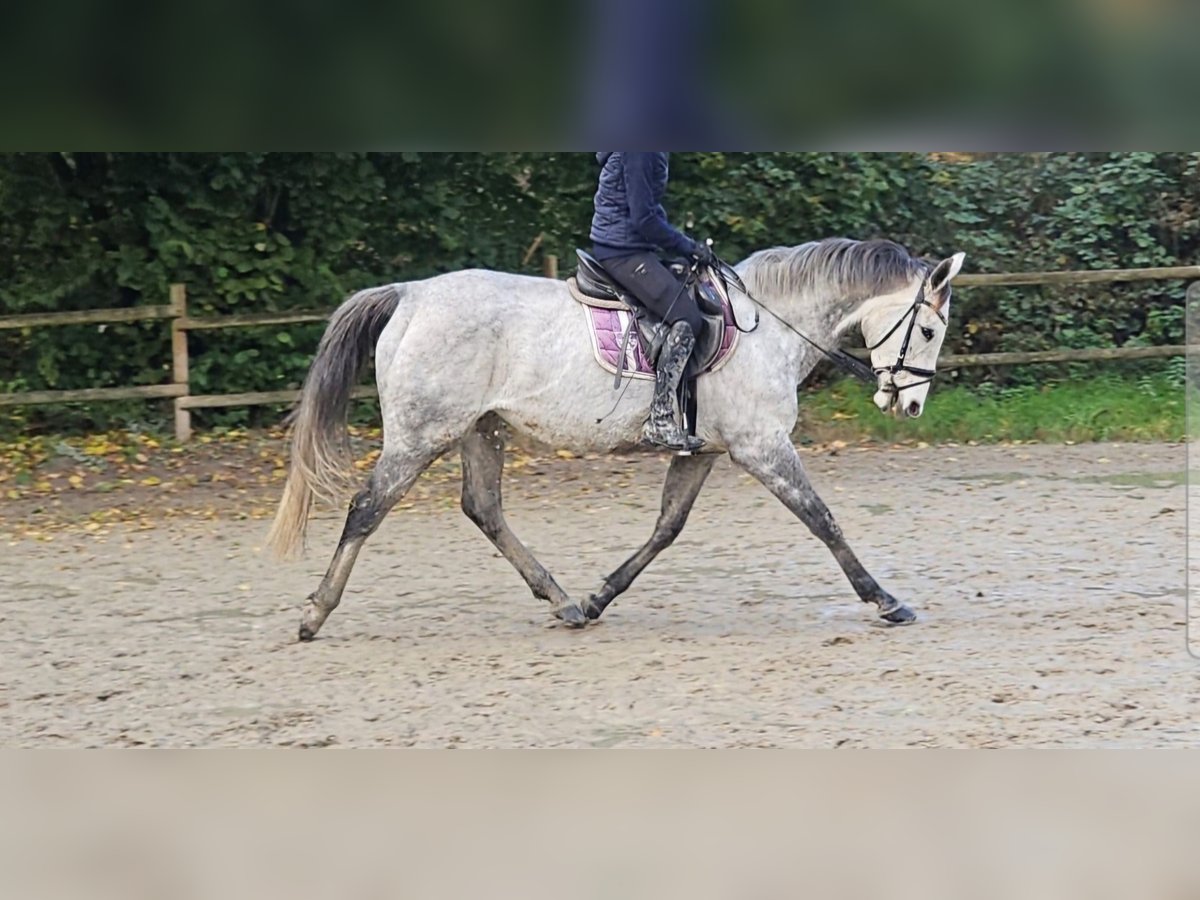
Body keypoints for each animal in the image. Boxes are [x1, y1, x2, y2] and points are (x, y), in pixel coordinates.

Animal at [267, 236, 960, 638]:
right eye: (929, 331)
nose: (910, 405)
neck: (770, 326)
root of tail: (409, 295)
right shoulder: (762, 446)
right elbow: (823, 519)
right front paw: (885, 600)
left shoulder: (705, 452)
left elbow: (665, 529)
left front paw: (600, 596)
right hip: (421, 433)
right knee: (366, 508)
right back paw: (314, 613)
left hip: (480, 430)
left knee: (484, 509)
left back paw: (563, 601)